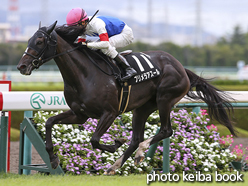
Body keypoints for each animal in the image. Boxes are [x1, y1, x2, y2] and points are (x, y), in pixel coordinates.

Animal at [17, 21, 234, 174]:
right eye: (28, 40)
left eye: (39, 41)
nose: (22, 66)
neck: (84, 75)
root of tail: (180, 67)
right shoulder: (80, 114)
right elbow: (49, 122)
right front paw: (53, 158)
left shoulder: (109, 112)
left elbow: (94, 140)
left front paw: (115, 143)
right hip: (142, 108)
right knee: (137, 138)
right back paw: (115, 165)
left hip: (165, 99)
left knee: (165, 131)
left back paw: (138, 153)